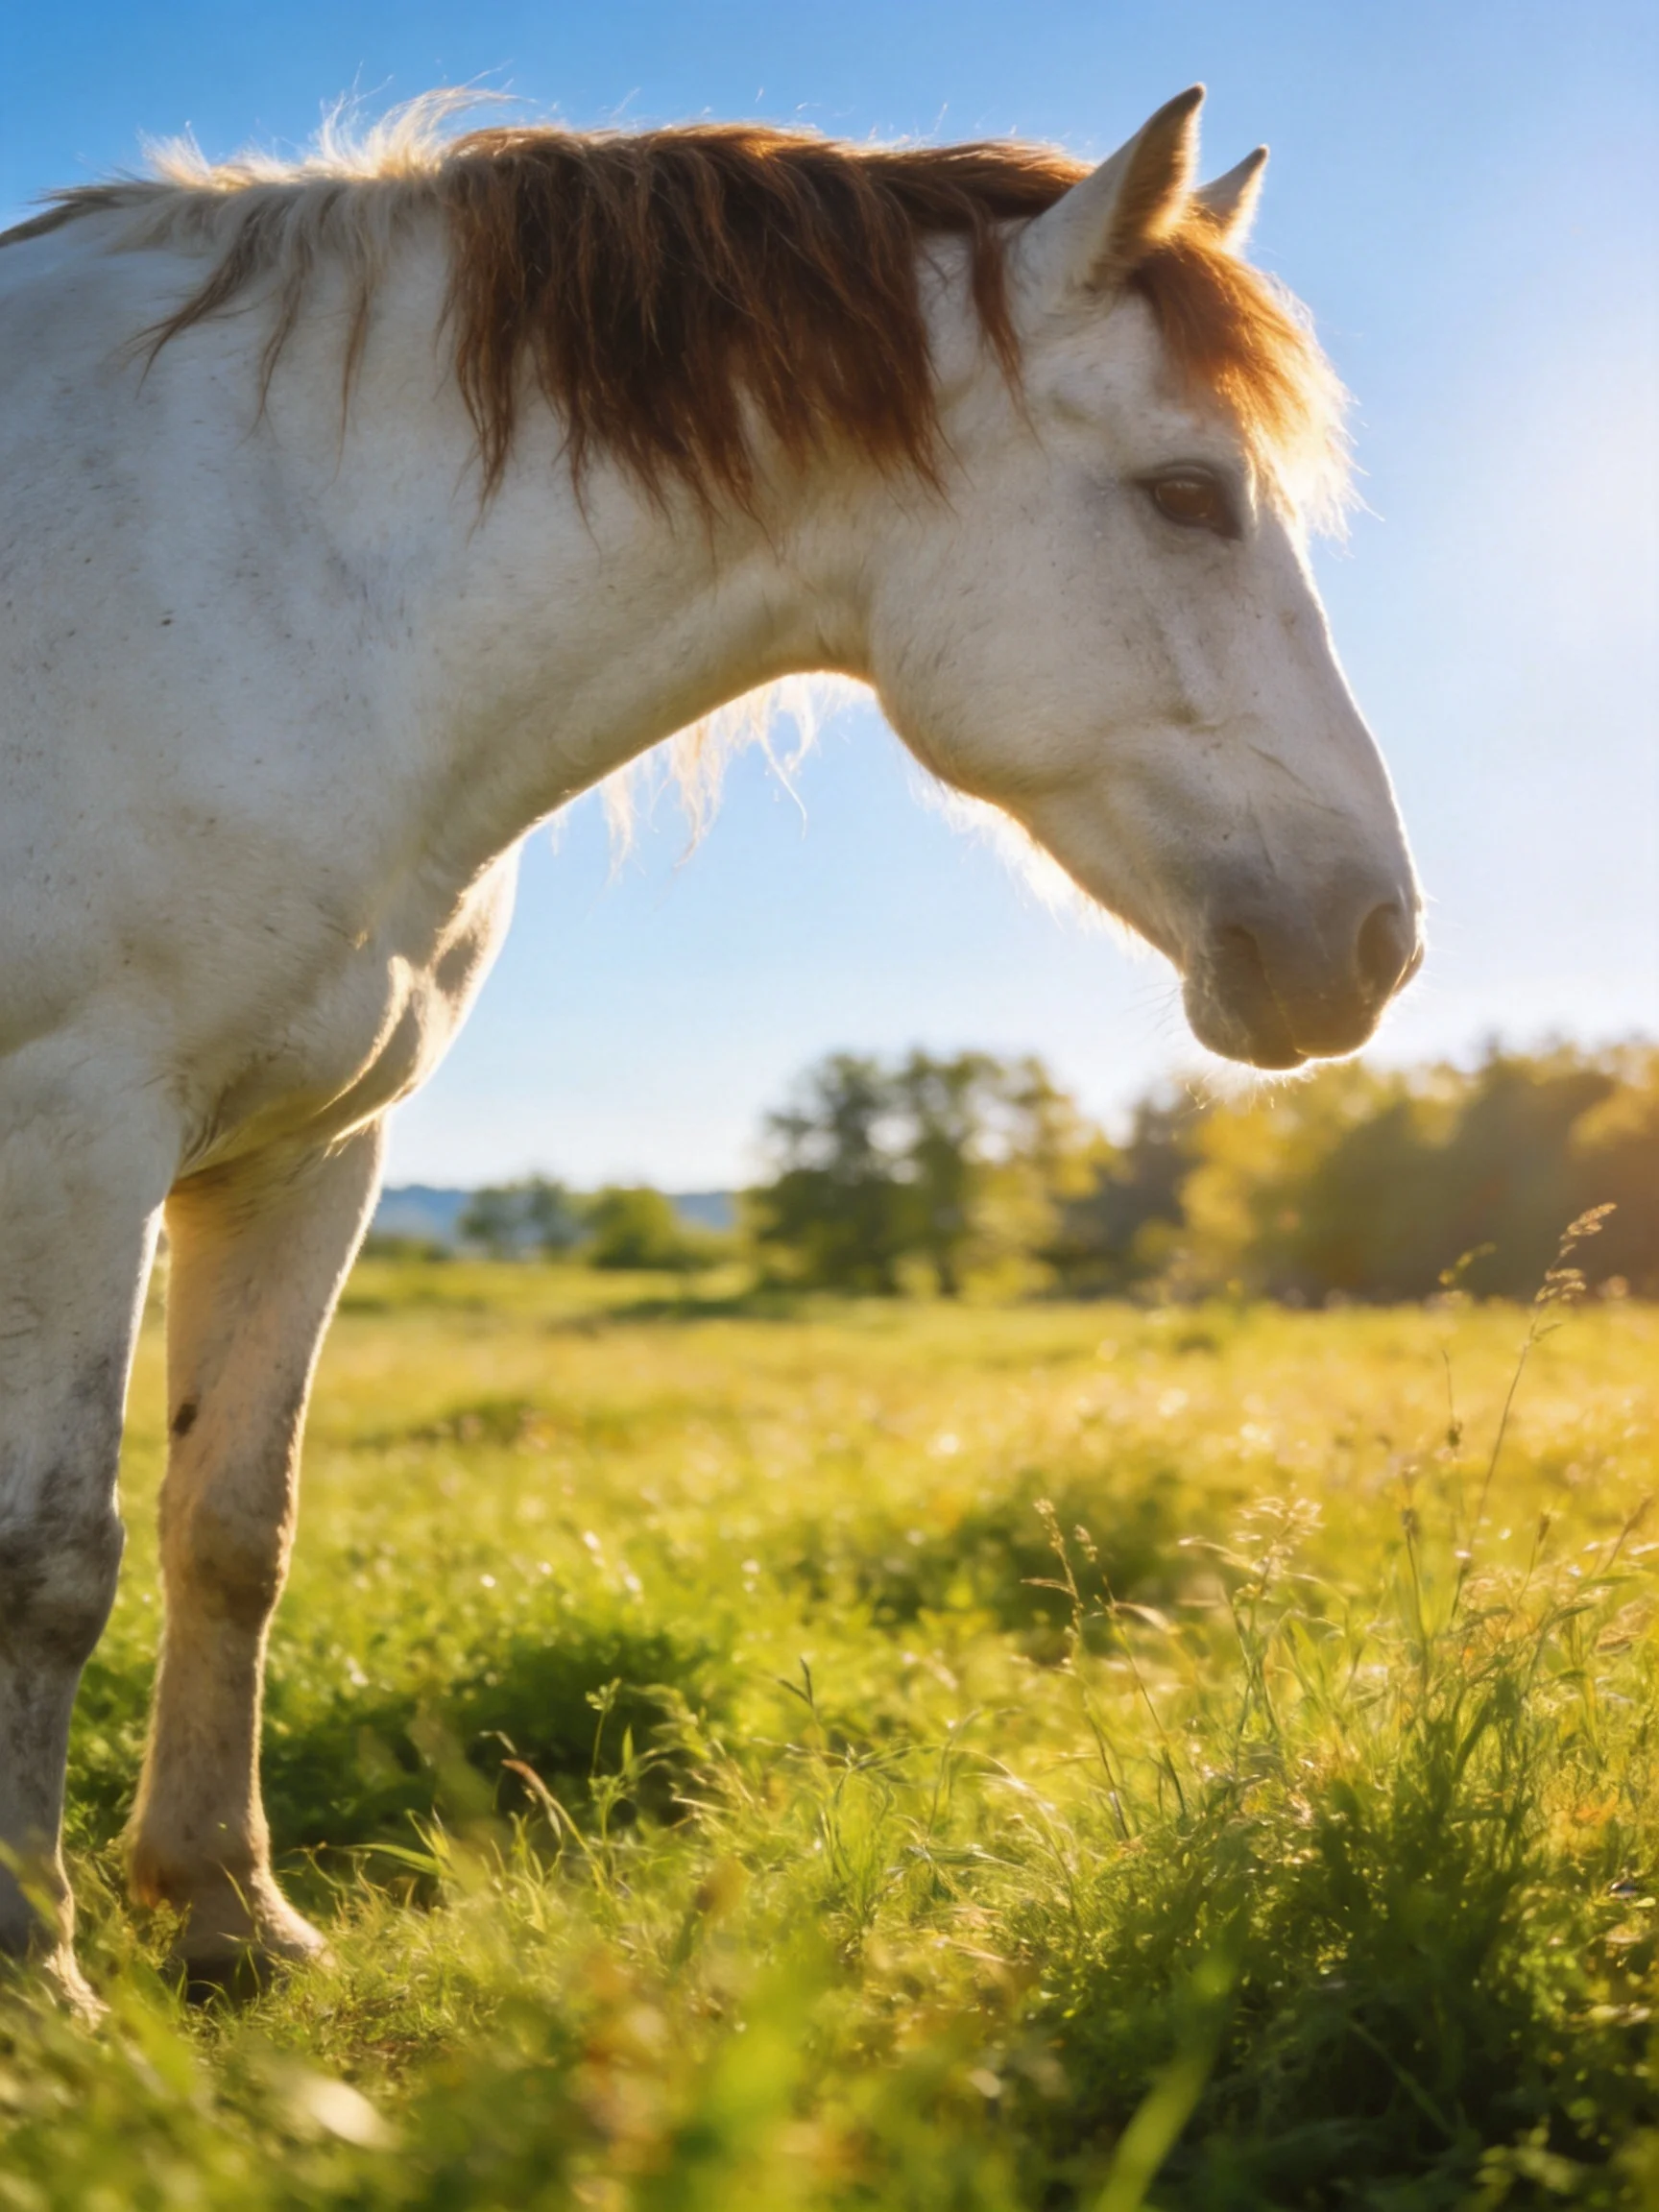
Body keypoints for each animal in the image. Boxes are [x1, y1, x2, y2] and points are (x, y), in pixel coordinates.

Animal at [0, 86, 1421, 2008]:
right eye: (1189, 493)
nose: (1374, 941)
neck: (266, 579)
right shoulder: (80, 1135)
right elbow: (51, 1556)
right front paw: (39, 1971)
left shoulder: (309, 1149)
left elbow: (234, 1528)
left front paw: (230, 1915)